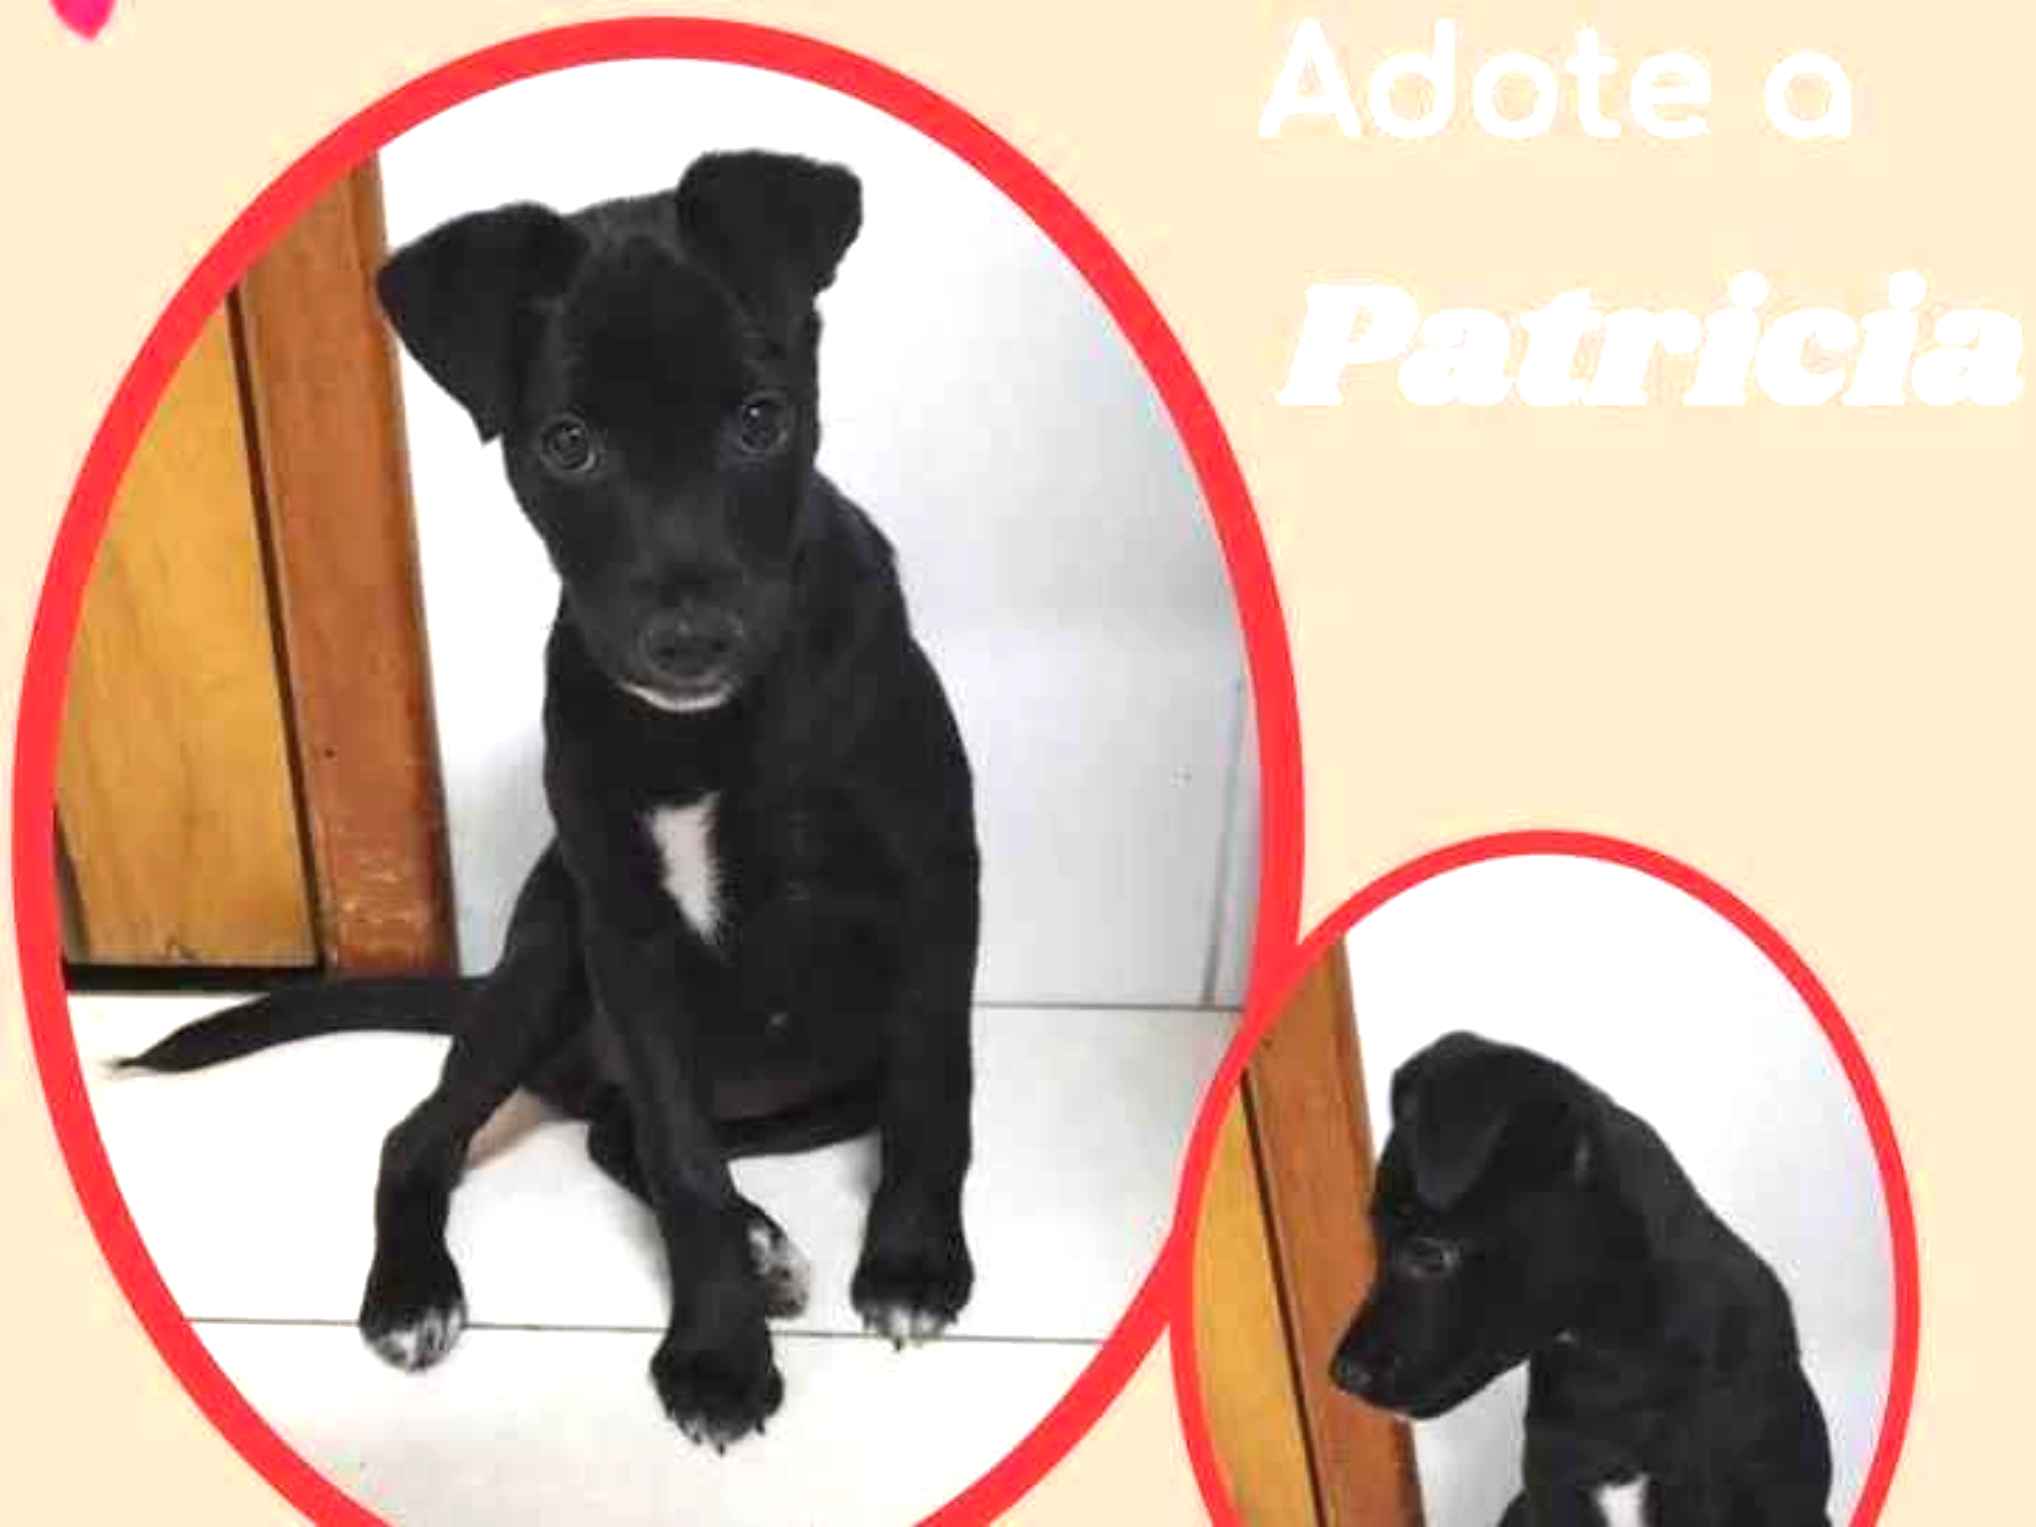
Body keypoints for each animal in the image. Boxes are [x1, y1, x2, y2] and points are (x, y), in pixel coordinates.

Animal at [121, 150, 981, 1450]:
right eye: (568, 445)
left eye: (760, 421)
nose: (688, 641)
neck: (713, 732)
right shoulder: (622, 934)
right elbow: (683, 1163)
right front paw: (718, 1355)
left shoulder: (932, 880)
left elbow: (932, 1087)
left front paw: (915, 1265)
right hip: (543, 967)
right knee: (435, 1136)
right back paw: (419, 1292)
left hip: (815, 1079)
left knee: (618, 1129)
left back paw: (765, 1239)